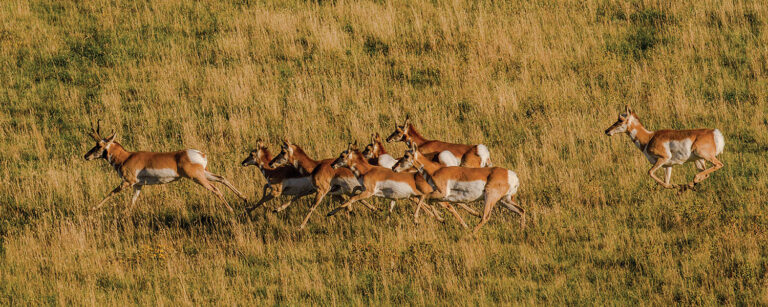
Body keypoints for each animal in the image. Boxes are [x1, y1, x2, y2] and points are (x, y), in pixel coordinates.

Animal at [83, 121, 246, 213]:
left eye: (98, 145)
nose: (86, 156)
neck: (126, 157)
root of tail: (200, 154)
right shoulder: (138, 185)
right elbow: (133, 201)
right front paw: (125, 216)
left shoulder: (127, 182)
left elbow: (111, 193)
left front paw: (93, 208)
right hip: (204, 174)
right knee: (221, 178)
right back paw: (243, 198)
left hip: (197, 177)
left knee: (215, 189)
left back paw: (231, 209)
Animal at [392, 144, 524, 233]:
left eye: (406, 155)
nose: (394, 167)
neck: (436, 170)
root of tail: (512, 175)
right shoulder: (443, 197)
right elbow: (432, 202)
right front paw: (441, 218)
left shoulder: (442, 193)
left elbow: (425, 197)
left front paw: (416, 219)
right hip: (504, 200)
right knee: (521, 210)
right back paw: (521, 231)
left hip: (491, 198)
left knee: (485, 217)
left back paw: (471, 234)